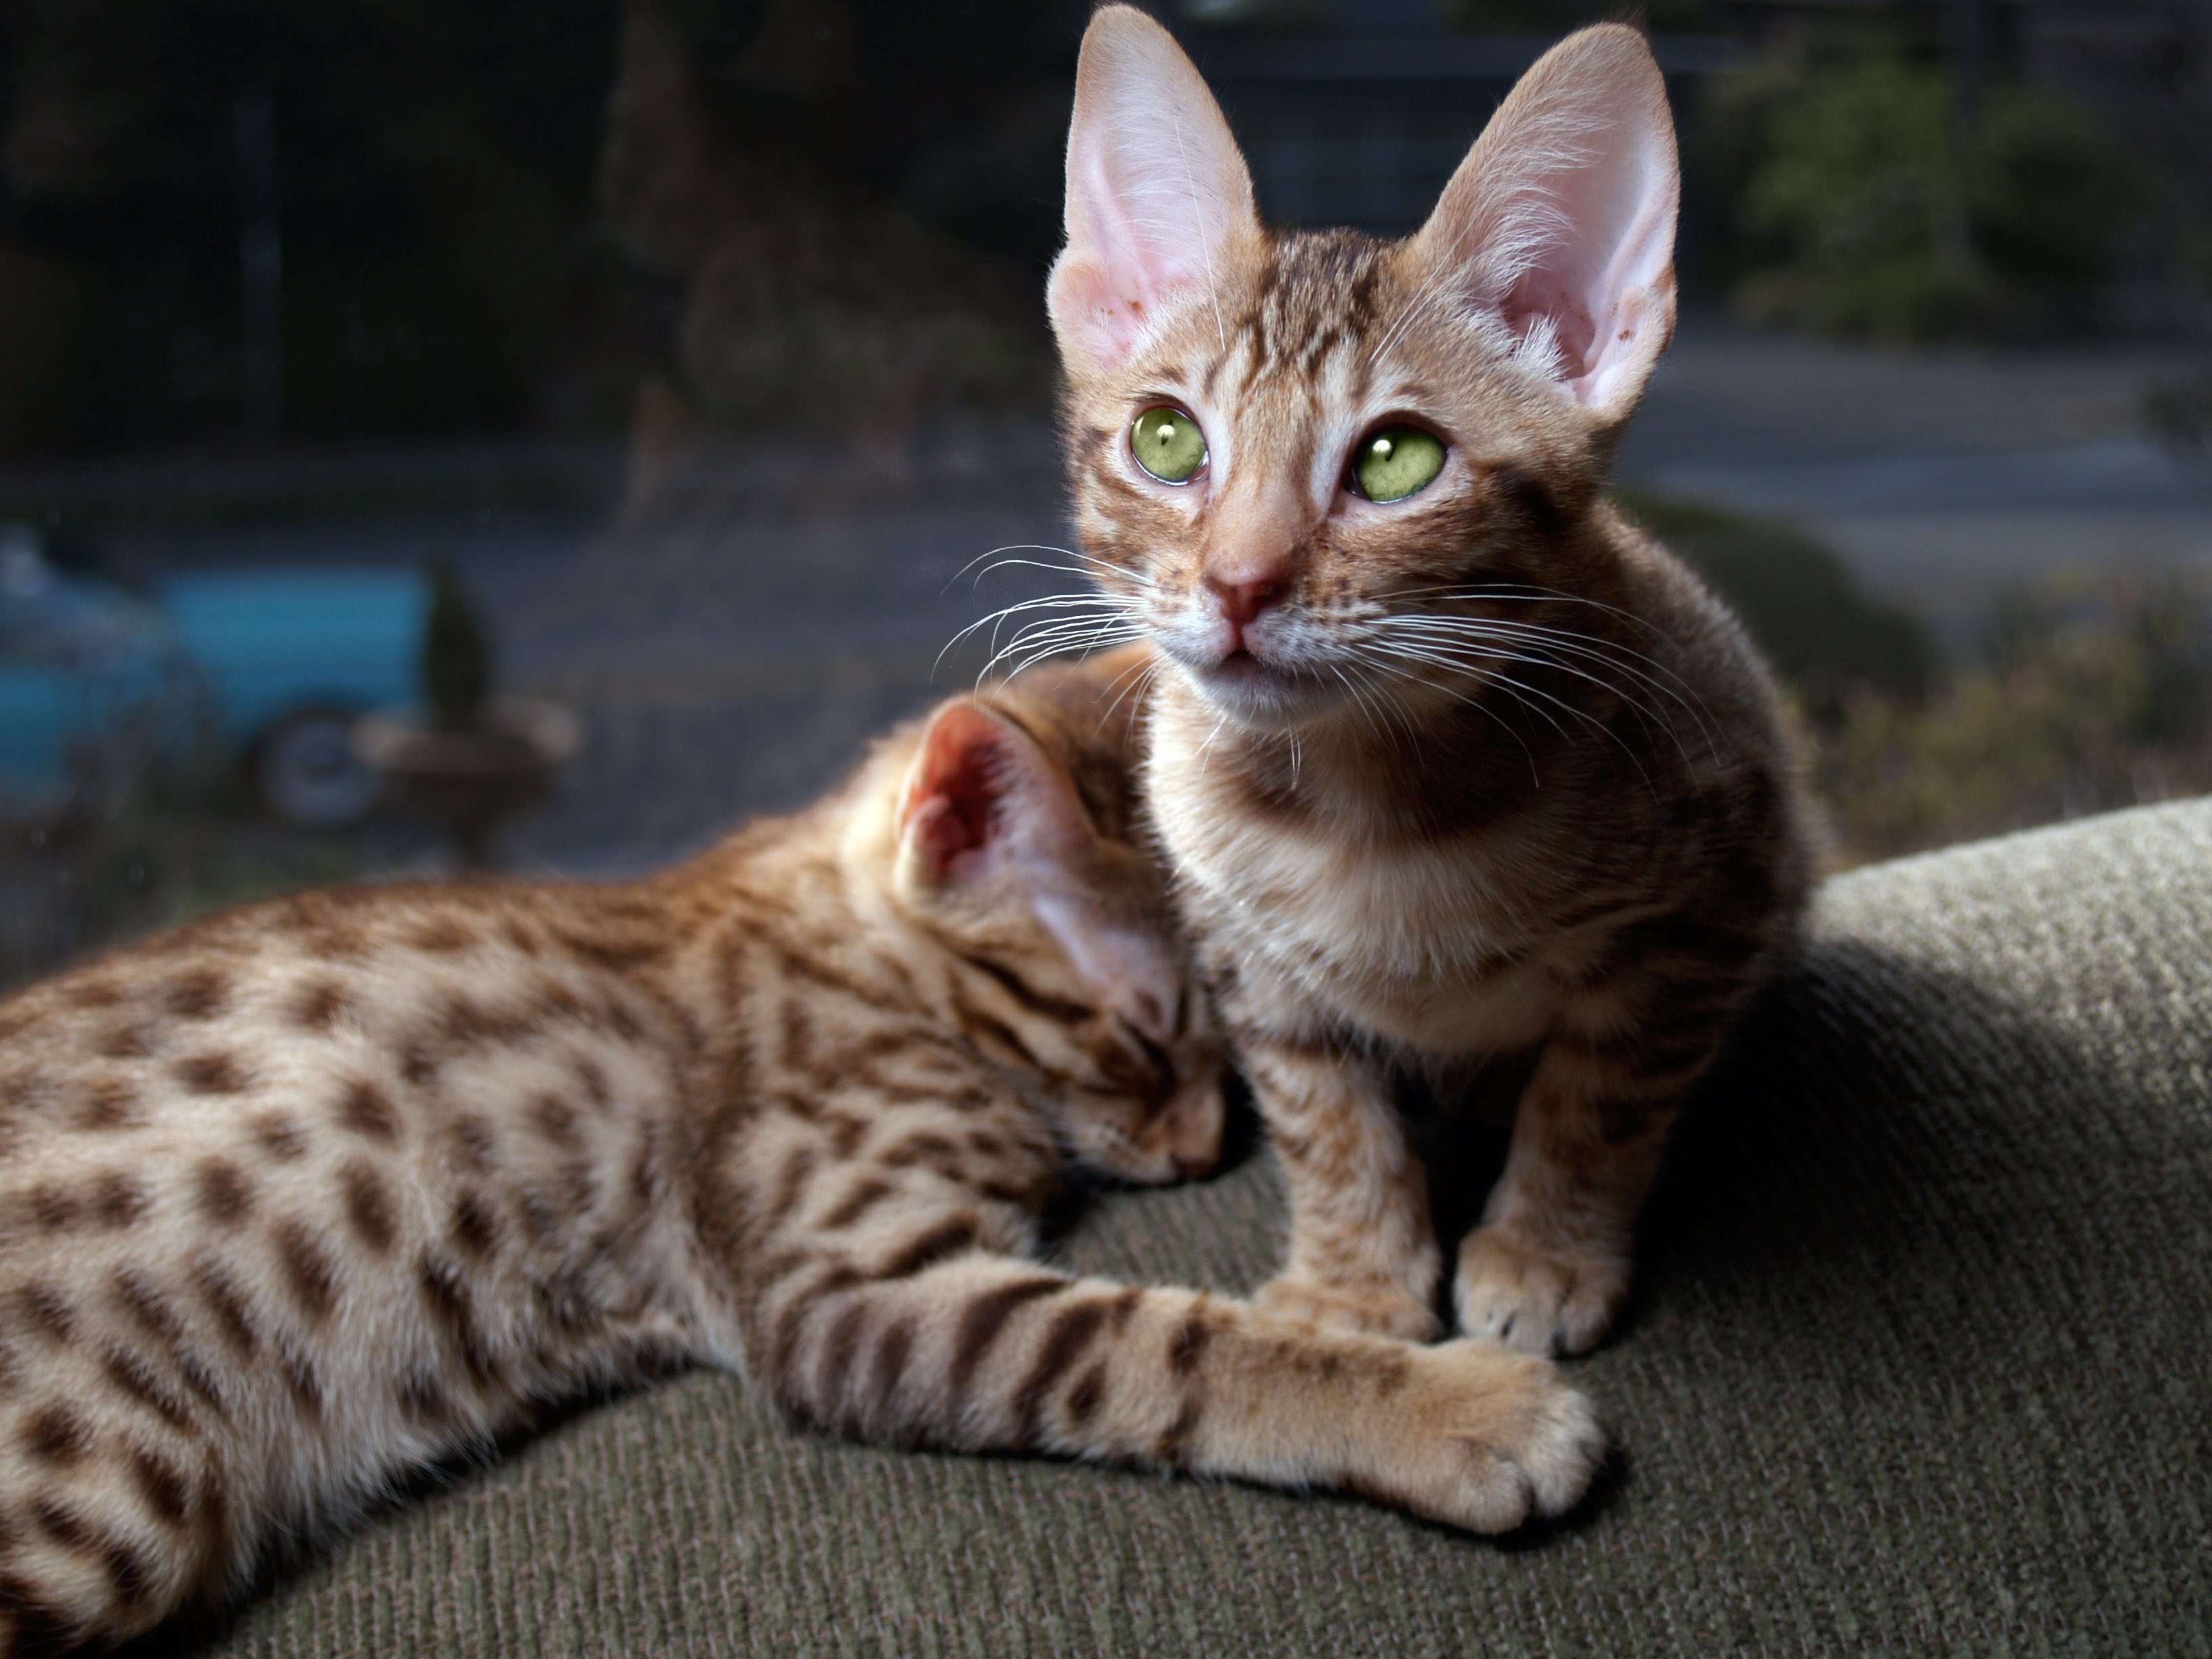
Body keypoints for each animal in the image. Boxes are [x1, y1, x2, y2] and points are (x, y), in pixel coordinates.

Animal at [0, 655, 1601, 1654]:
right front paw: (1461, 1408)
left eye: (1235, 1056)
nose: (1207, 1142)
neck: (849, 951)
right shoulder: (847, 1283)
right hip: (104, 1501)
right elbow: (1180, 1346)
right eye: (1147, 1039)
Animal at [1048, 13, 1814, 1353]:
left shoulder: (1716, 897)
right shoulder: (1247, 956)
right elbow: (1320, 1114)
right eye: (1166, 440)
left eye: (1397, 459)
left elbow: (1602, 1092)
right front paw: (1354, 1280)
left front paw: (1543, 1250)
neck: (1363, 806)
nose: (1238, 584)